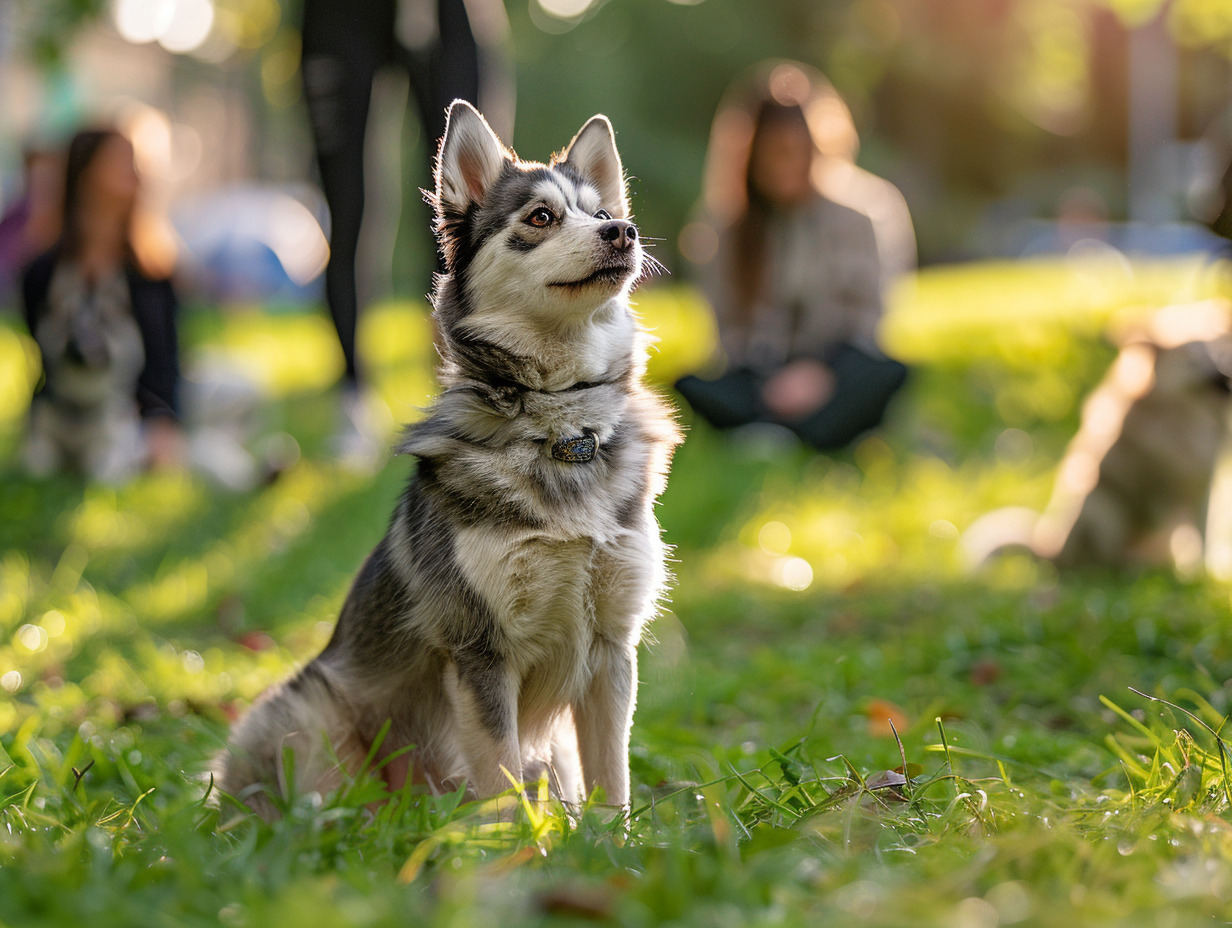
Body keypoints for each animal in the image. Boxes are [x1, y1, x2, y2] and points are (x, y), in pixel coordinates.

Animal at [221, 97, 684, 813]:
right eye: (541, 217)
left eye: (601, 212)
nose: (624, 232)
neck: (563, 430)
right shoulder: (480, 653)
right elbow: (500, 780)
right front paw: (513, 839)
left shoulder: (611, 652)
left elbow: (612, 782)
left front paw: (613, 837)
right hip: (307, 716)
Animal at [965, 300, 1232, 569]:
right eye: (1195, 359)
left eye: (1221, 346)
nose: (1225, 371)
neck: (1190, 414)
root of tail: (1055, 549)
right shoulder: (1164, 491)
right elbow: (1186, 534)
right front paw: (1192, 571)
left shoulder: (1204, 486)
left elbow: (1202, 533)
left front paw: (1205, 569)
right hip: (1102, 508)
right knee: (1102, 560)